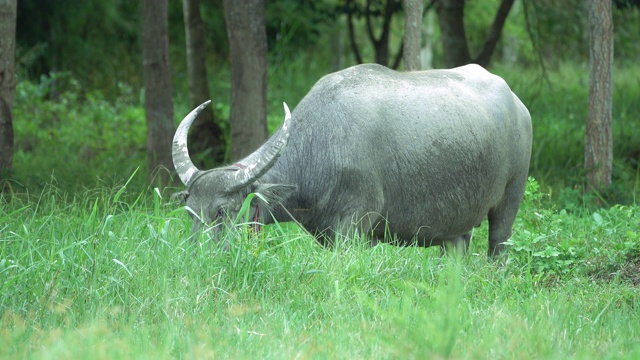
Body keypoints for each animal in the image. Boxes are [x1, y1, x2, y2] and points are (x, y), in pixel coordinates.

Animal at [172, 64, 532, 256]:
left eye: (222, 211)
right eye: (190, 211)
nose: (197, 255)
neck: (320, 144)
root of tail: (519, 106)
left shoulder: (355, 226)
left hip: (510, 200)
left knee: (498, 245)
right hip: (456, 228)